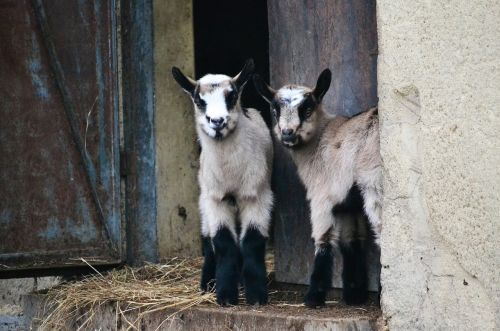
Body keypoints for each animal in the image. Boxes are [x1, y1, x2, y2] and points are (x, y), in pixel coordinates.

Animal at [172, 59, 274, 306]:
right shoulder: (215, 199)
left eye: (232, 96)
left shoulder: (258, 195)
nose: (217, 121)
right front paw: (226, 295)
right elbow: (223, 242)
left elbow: (252, 241)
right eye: (199, 100)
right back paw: (207, 283)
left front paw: (256, 295)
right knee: (208, 240)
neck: (230, 173)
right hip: (204, 198)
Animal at [256, 70, 380, 308]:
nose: (287, 133)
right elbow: (352, 240)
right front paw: (354, 295)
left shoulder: (322, 196)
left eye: (307, 109)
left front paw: (313, 297)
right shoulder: (347, 203)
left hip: (374, 184)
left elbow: (323, 240)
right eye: (275, 110)